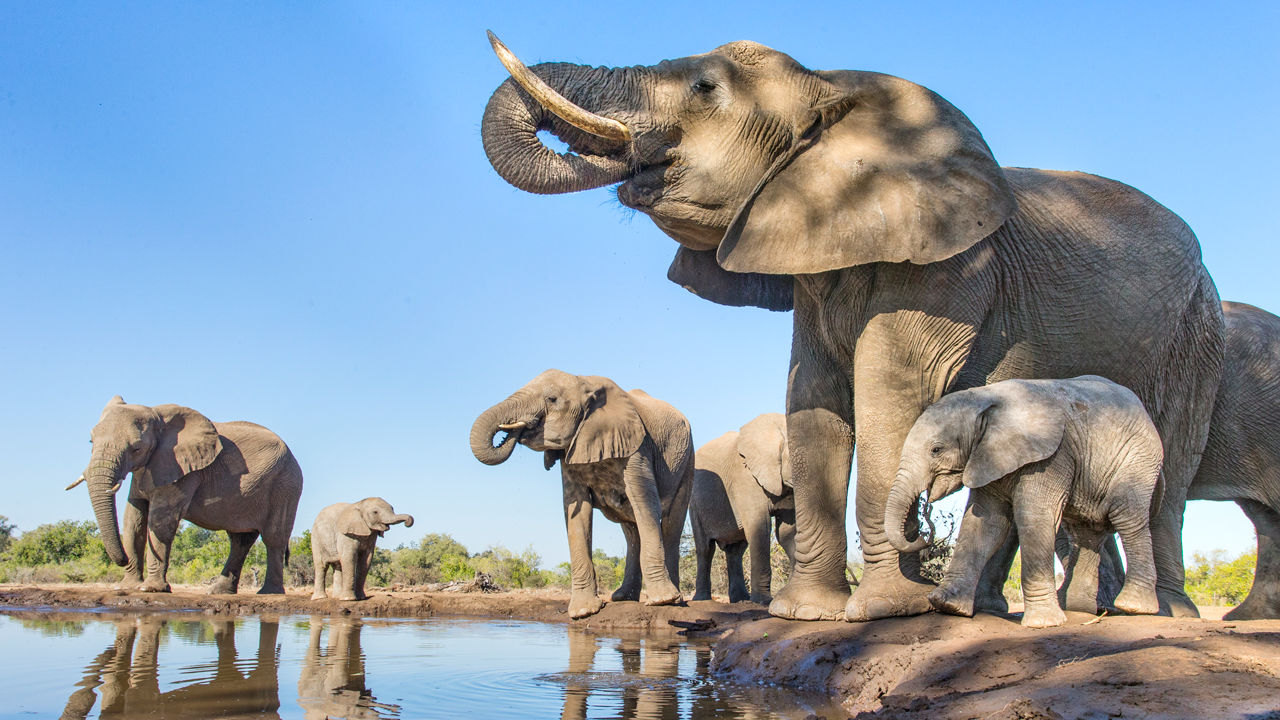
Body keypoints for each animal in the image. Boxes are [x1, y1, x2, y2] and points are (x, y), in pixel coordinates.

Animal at [71, 394, 305, 591]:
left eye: (136, 448)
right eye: (91, 441)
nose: (122, 560)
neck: (158, 417)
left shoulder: (183, 469)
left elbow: (160, 521)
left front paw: (151, 589)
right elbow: (133, 518)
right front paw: (128, 587)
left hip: (286, 485)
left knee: (273, 538)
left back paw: (268, 593)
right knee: (239, 540)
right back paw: (218, 592)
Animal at [471, 366, 696, 614]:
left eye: (551, 399)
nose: (513, 431)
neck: (584, 383)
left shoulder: (638, 448)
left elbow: (645, 504)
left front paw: (661, 601)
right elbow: (576, 513)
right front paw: (583, 611)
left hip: (687, 461)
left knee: (670, 524)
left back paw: (675, 600)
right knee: (630, 530)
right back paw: (623, 598)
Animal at [691, 409, 788, 599]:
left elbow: (787, 530)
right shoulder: (746, 479)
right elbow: (761, 528)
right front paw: (764, 602)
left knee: (736, 550)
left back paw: (741, 600)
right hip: (695, 503)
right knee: (705, 549)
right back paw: (702, 599)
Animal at [885, 371, 1167, 625]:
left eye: (936, 450)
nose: (923, 536)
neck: (986, 398)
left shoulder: (1051, 457)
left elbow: (1033, 517)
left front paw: (1044, 623)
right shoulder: (989, 457)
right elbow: (986, 523)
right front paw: (947, 605)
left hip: (1136, 460)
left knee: (1127, 517)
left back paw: (1133, 607)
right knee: (1087, 532)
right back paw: (1075, 608)